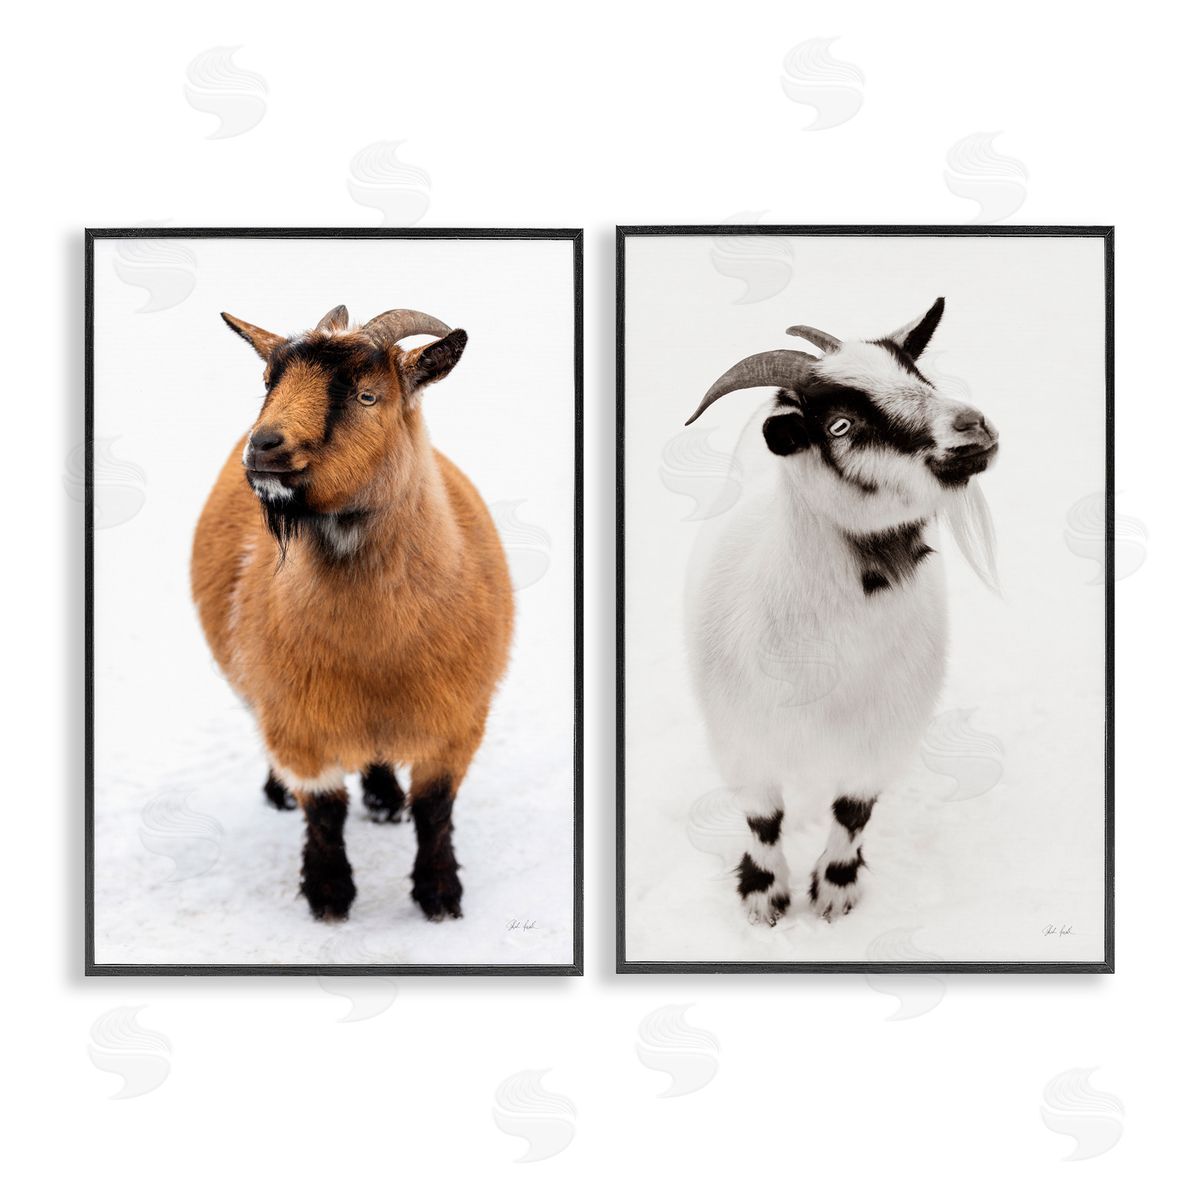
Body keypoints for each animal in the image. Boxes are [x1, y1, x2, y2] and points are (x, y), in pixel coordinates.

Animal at [191, 304, 513, 922]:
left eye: (367, 396)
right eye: (268, 381)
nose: (263, 446)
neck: (376, 651)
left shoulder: (458, 720)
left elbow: (435, 809)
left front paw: (440, 897)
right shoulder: (297, 721)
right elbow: (324, 811)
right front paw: (329, 895)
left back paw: (385, 797)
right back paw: (281, 794)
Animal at [684, 298, 999, 925]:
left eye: (920, 378)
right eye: (841, 425)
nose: (972, 426)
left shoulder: (883, 738)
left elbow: (853, 814)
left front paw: (834, 891)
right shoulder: (739, 739)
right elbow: (763, 819)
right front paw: (764, 897)